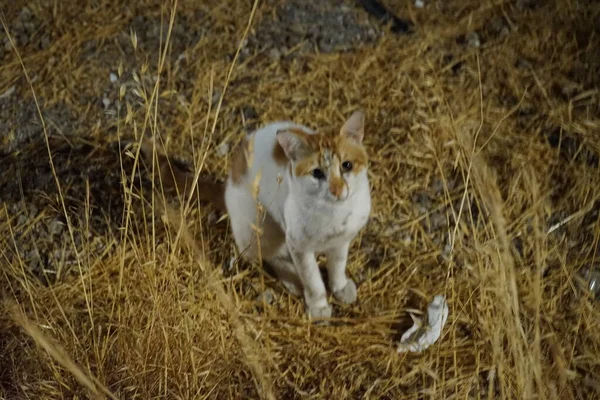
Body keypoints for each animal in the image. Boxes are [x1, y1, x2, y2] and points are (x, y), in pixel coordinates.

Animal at [145, 111, 370, 320]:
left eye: (347, 165)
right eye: (317, 173)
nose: (337, 190)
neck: (335, 213)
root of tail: (227, 186)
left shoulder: (342, 240)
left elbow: (338, 265)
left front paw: (340, 287)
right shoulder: (298, 245)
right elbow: (312, 278)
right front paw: (319, 306)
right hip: (259, 229)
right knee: (269, 256)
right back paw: (293, 279)